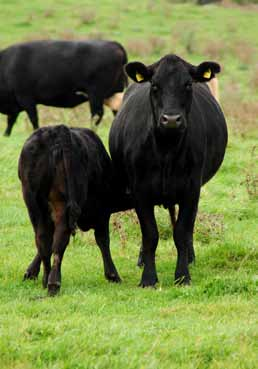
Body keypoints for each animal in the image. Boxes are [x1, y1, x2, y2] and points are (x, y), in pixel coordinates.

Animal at [0, 40, 128, 135]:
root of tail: (114, 44)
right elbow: (11, 121)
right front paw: (6, 135)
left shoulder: (25, 98)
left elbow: (33, 119)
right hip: (112, 94)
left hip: (96, 94)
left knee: (97, 114)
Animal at [19, 125, 124, 294]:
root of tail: (57, 131)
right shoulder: (102, 212)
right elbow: (103, 240)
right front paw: (112, 275)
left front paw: (31, 272)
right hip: (61, 205)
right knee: (60, 240)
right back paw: (54, 283)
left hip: (33, 204)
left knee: (43, 239)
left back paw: (46, 279)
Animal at [109, 53, 228, 286]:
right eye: (155, 85)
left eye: (188, 84)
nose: (171, 119)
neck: (166, 150)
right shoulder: (140, 191)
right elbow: (150, 234)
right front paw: (148, 278)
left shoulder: (191, 189)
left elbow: (181, 232)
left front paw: (182, 276)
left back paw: (190, 257)